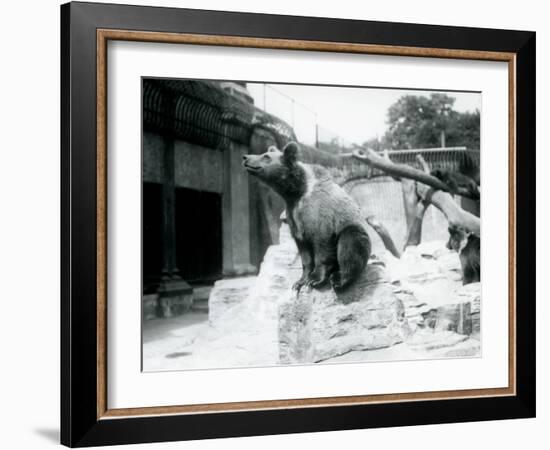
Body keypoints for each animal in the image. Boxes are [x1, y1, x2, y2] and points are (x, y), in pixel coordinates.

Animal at [245, 142, 370, 292]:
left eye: (266, 156)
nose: (246, 157)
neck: (296, 192)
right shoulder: (294, 217)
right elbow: (304, 252)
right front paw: (300, 281)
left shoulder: (319, 214)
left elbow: (322, 244)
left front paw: (315, 279)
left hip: (354, 229)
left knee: (350, 243)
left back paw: (339, 279)